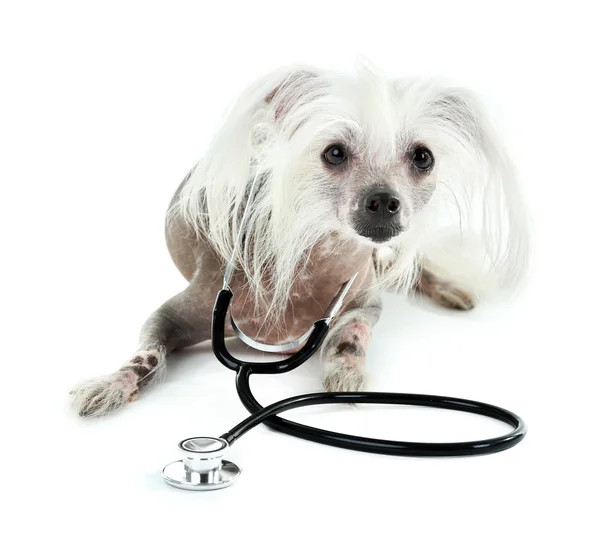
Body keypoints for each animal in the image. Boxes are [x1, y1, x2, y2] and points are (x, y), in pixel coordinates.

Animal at [71, 65, 528, 420]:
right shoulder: (179, 310)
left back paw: (448, 287)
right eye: (335, 153)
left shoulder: (365, 298)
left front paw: (346, 371)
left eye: (422, 157)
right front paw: (112, 384)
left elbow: (355, 327)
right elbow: (148, 351)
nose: (384, 200)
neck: (311, 266)